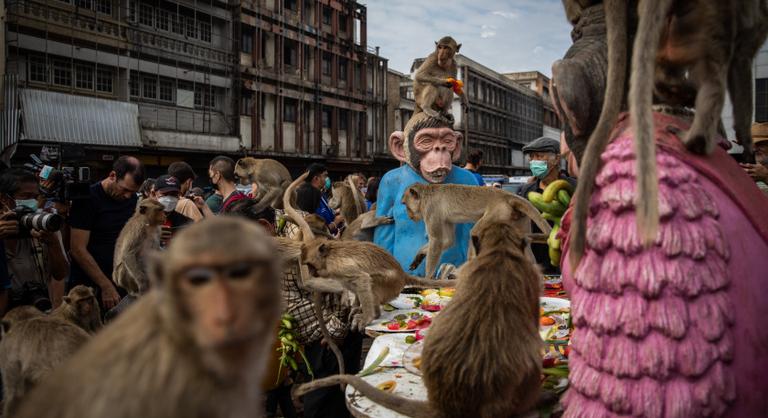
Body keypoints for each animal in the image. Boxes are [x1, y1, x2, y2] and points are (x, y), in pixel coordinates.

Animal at [402, 184, 552, 280]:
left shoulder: (431, 209)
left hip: (497, 212)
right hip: (519, 217)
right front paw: (419, 256)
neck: (426, 194)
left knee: (474, 232)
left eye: (405, 204)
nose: (409, 215)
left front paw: (427, 278)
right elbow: (447, 241)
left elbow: (437, 240)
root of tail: (507, 196)